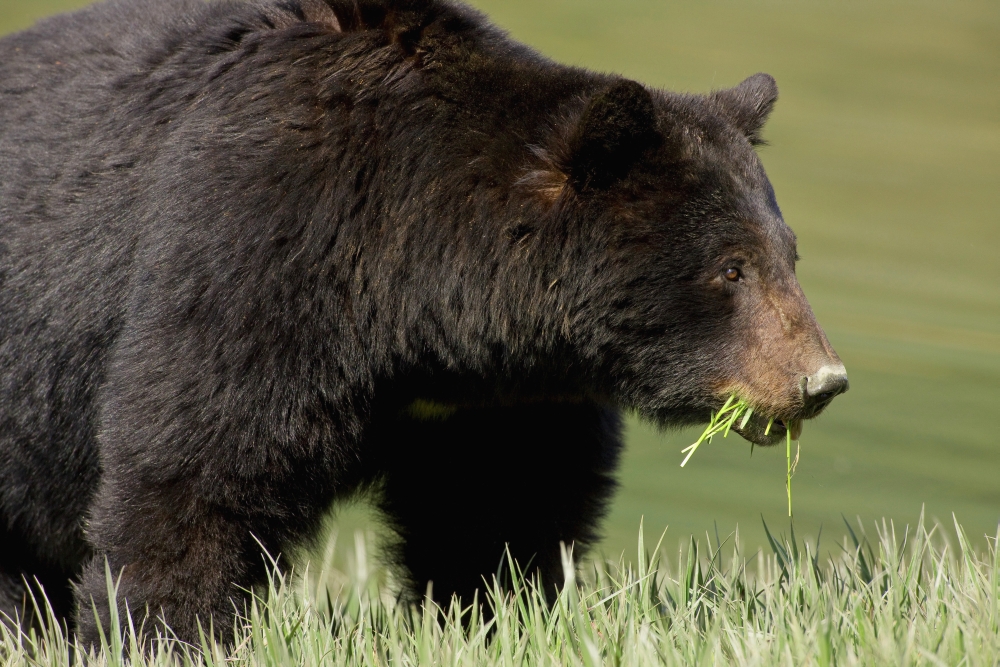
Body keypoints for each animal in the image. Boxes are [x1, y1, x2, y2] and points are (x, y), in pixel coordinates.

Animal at [0, 0, 849, 646]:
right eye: (731, 267)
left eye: (788, 253)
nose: (821, 379)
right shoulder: (258, 248)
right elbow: (198, 461)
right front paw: (161, 628)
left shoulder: (503, 395)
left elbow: (504, 499)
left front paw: (493, 614)